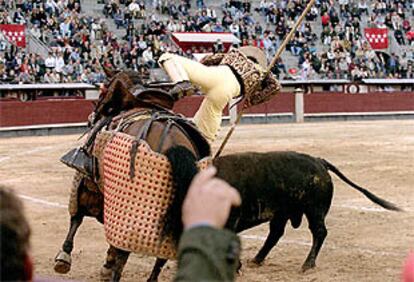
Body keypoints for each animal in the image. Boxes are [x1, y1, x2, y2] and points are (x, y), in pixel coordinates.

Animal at [53, 150, 400, 280]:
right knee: (276, 233)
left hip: (314, 210)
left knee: (319, 233)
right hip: (283, 212)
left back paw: (307, 264)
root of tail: (318, 160)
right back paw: (258, 260)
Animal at [54, 69, 210, 282]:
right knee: (162, 254)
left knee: (124, 253)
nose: (91, 116)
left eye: (103, 93)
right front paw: (106, 265)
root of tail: (174, 143)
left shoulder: (86, 184)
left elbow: (76, 217)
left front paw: (63, 258)